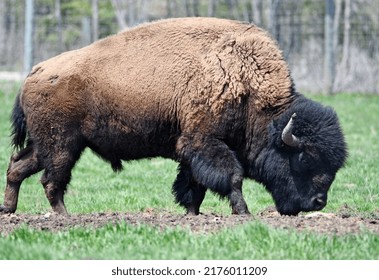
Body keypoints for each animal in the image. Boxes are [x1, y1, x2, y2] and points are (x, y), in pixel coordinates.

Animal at [1, 17, 348, 217]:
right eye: (304, 159)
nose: (318, 203)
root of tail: (34, 72)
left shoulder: (192, 149)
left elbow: (194, 184)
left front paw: (192, 214)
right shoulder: (204, 142)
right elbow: (231, 177)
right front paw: (243, 212)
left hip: (48, 145)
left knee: (18, 166)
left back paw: (9, 209)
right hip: (62, 145)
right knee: (51, 180)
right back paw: (64, 217)